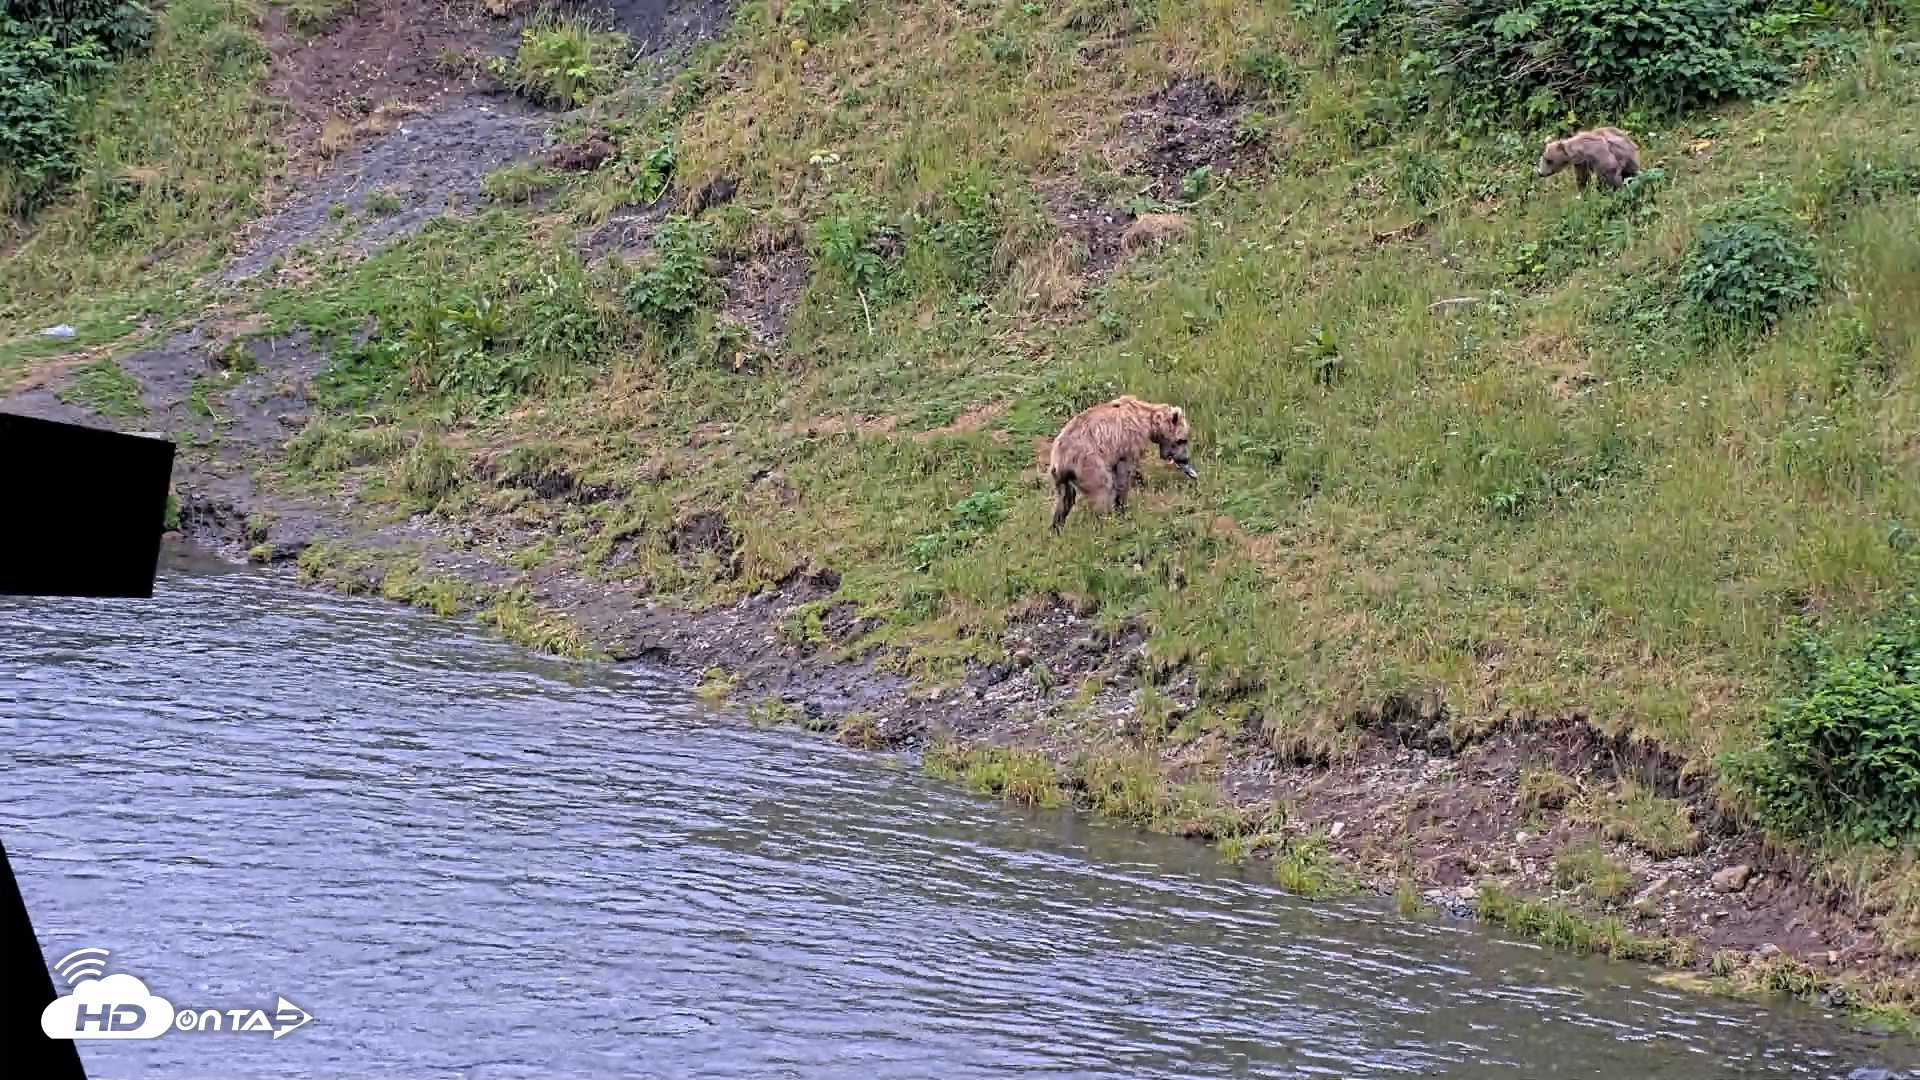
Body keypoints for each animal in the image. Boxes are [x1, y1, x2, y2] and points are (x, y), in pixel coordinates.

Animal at [1049, 395, 1196, 530]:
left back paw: (1056, 527)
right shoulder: (1127, 442)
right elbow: (1124, 474)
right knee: (1102, 489)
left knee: (1065, 499)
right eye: (1183, 440)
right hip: (1088, 464)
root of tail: (1062, 458)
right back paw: (1105, 521)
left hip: (1060, 477)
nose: (1185, 459)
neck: (1147, 420)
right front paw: (1122, 508)